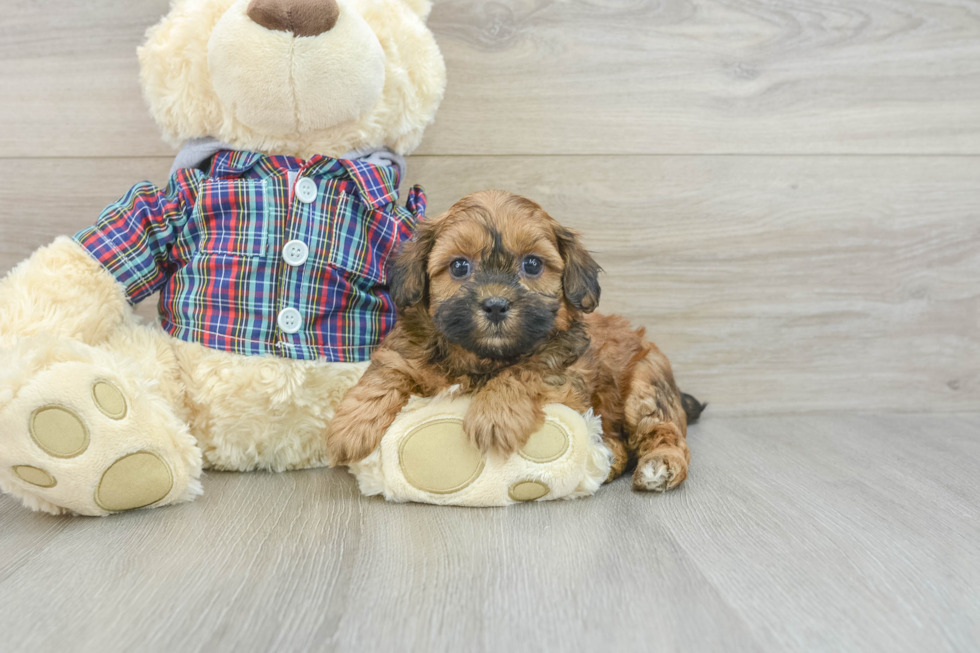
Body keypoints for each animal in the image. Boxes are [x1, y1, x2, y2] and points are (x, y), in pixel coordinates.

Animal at [330, 188, 704, 488]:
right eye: (459, 267)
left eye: (533, 265)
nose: (495, 305)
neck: (482, 357)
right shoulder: (409, 348)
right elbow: (388, 369)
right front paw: (352, 425)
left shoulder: (565, 375)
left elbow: (526, 370)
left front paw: (495, 415)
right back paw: (607, 458)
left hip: (645, 386)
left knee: (661, 430)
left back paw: (658, 466)